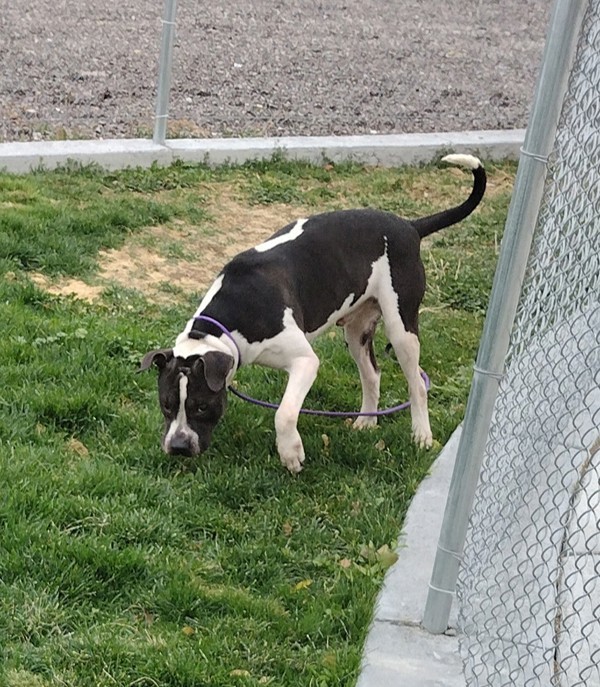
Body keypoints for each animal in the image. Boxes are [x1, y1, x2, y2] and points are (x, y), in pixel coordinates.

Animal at [141, 155, 488, 472]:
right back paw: (366, 421)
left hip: (401, 327)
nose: (179, 446)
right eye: (166, 405)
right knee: (372, 374)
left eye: (201, 406)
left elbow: (284, 412)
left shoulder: (304, 361)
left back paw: (421, 435)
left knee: (416, 382)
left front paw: (291, 453)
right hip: (357, 331)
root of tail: (409, 226)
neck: (223, 325)